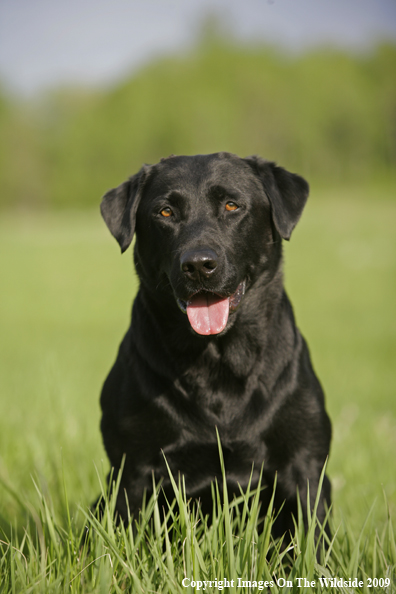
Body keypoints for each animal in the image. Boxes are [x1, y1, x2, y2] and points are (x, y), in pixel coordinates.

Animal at [99, 151, 332, 536]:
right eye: (165, 212)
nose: (198, 264)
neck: (216, 360)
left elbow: (313, 539)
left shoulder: (306, 465)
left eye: (232, 205)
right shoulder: (132, 471)